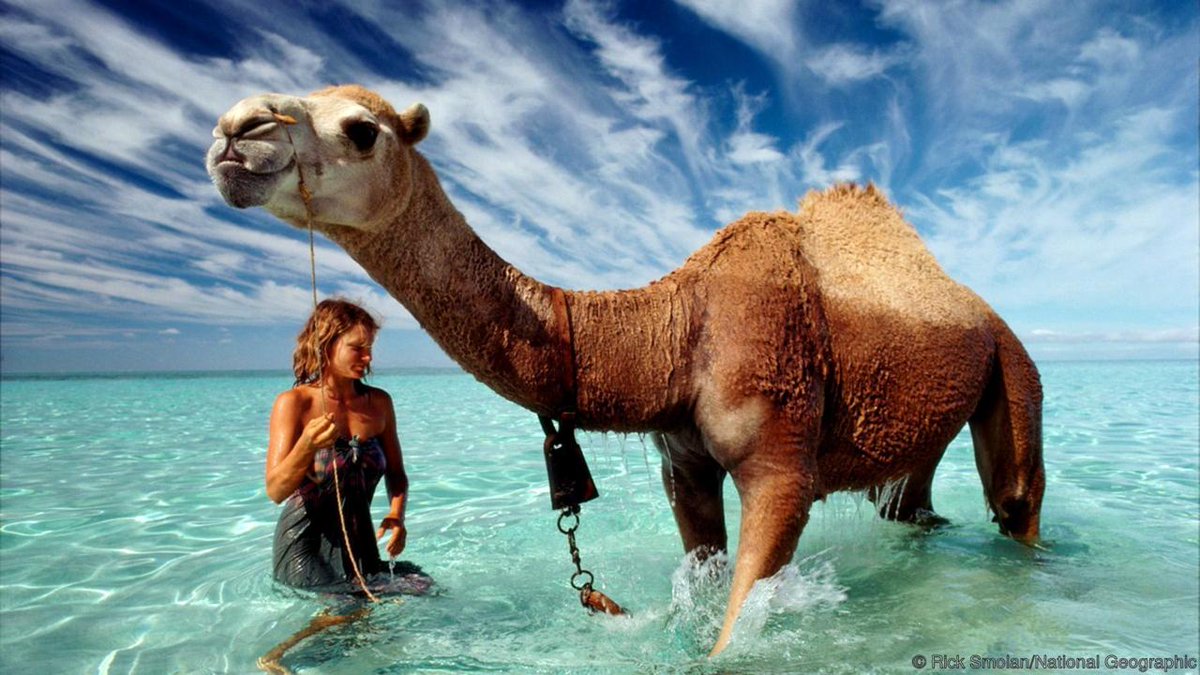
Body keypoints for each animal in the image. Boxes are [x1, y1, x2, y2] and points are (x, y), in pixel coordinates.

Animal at [207, 85, 1044, 657]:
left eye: (361, 129)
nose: (234, 129)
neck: (678, 326)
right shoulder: (684, 460)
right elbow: (703, 570)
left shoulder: (781, 457)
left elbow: (737, 623)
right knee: (908, 502)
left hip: (1012, 362)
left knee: (1015, 494)